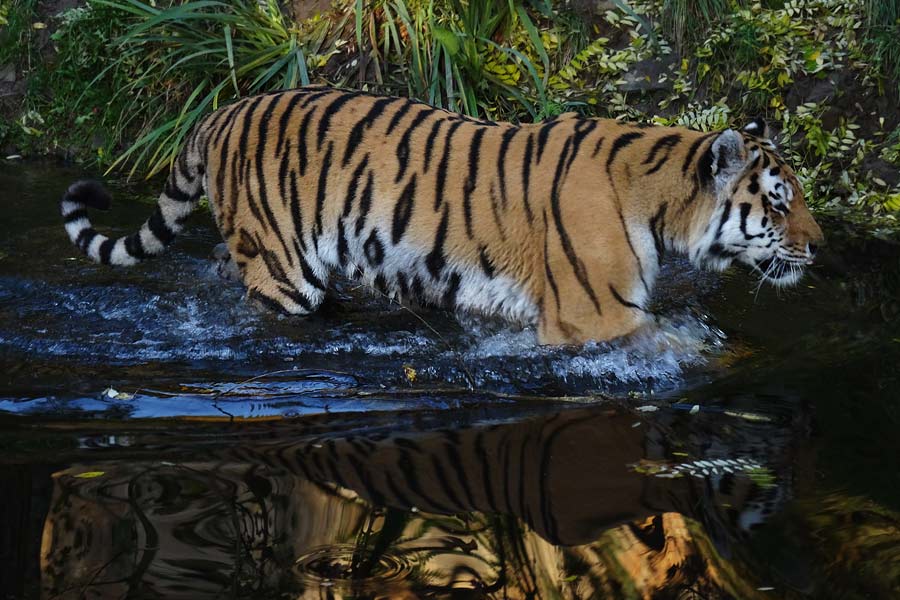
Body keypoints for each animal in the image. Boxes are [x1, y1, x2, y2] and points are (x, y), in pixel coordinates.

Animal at [59, 86, 828, 344]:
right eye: (780, 201)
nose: (819, 246)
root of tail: (220, 112)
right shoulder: (595, 318)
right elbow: (674, 347)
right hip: (284, 271)